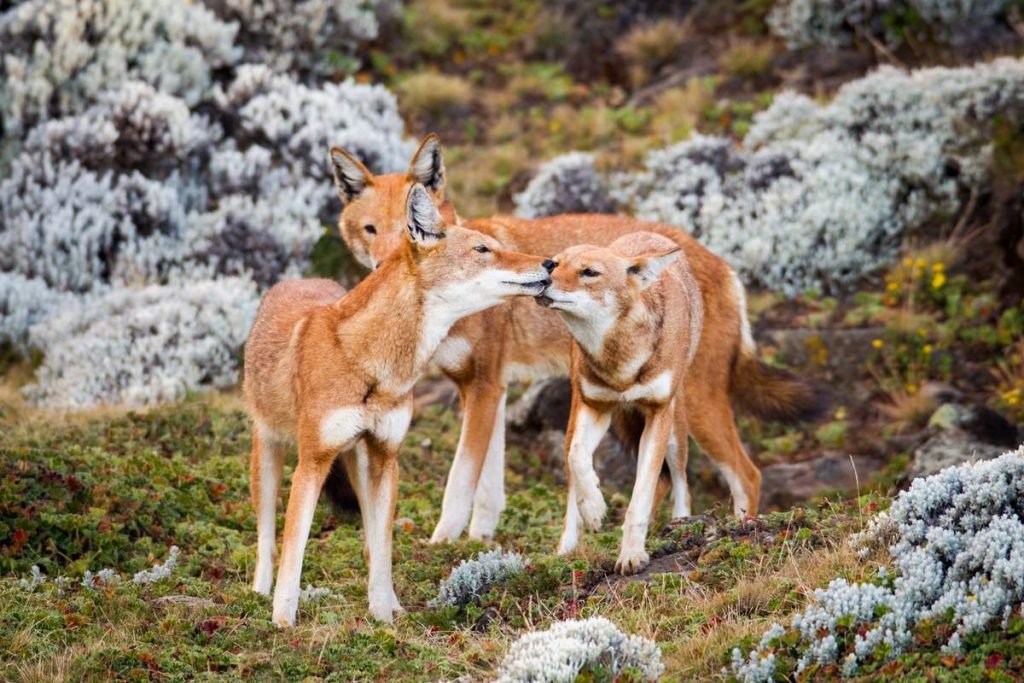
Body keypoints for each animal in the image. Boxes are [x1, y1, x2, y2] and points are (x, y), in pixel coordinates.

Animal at [240, 179, 552, 626]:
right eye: (482, 249)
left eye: (495, 245)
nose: (550, 263)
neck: (370, 366)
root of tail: (298, 280)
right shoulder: (312, 462)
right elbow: (294, 549)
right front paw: (283, 621)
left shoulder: (387, 457)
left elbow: (384, 549)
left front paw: (384, 614)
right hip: (269, 457)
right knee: (267, 538)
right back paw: (258, 593)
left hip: (358, 461)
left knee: (369, 541)